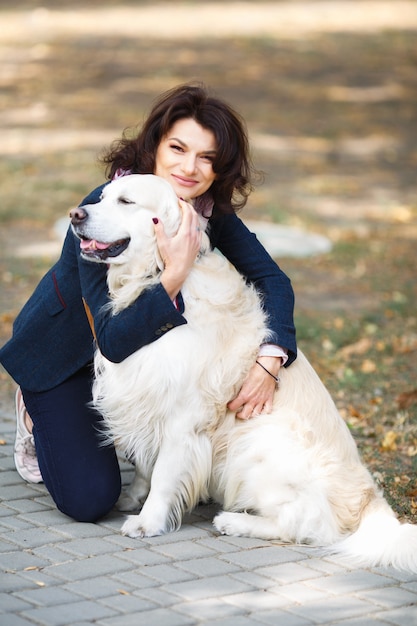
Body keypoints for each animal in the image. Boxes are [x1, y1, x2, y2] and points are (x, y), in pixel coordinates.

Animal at [71, 174, 416, 572]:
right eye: (101, 198)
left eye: (126, 201)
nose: (76, 214)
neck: (157, 281)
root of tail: (369, 501)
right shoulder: (146, 394)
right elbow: (146, 465)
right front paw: (133, 497)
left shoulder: (184, 414)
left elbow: (164, 472)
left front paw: (148, 520)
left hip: (257, 442)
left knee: (304, 525)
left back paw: (235, 521)